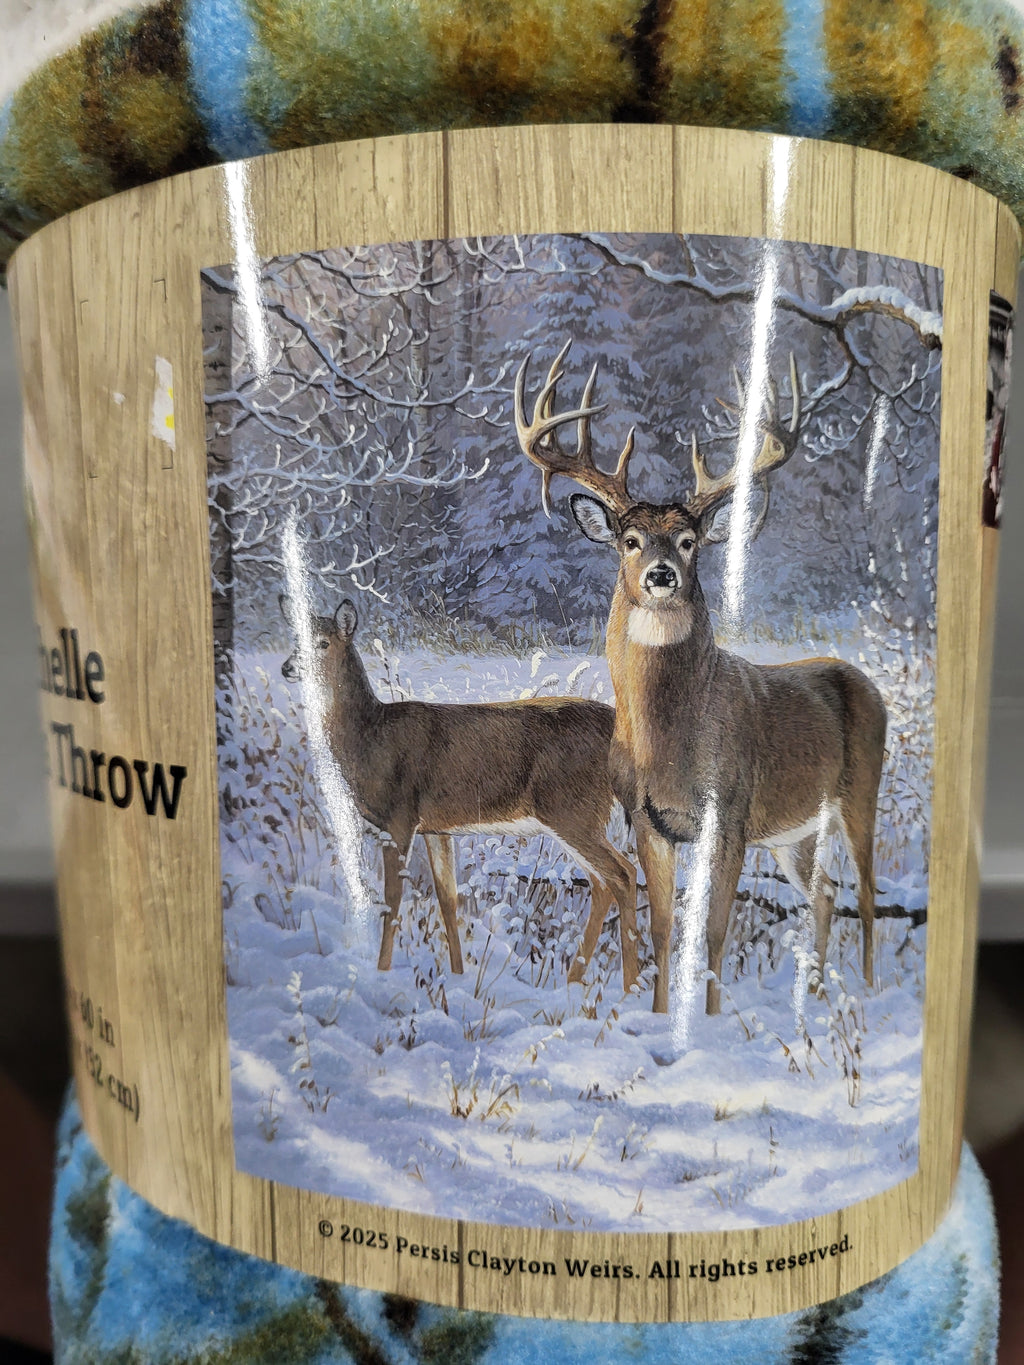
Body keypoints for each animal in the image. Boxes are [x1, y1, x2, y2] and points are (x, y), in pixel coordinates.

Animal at [279, 594, 638, 991]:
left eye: (323, 643)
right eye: (295, 639)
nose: (287, 668)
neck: (370, 737)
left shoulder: (399, 818)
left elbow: (393, 899)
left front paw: (383, 972)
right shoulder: (437, 829)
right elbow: (448, 899)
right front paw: (457, 975)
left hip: (572, 810)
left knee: (623, 876)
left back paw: (631, 989)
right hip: (577, 816)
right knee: (603, 884)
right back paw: (576, 980)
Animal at [514, 341, 887, 1017]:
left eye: (689, 541)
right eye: (630, 539)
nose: (661, 574)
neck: (668, 746)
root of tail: (864, 681)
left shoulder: (730, 814)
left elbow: (712, 930)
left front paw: (706, 1022)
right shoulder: (647, 820)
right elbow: (665, 927)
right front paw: (661, 1014)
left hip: (861, 790)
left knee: (866, 893)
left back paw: (866, 994)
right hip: (795, 831)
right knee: (824, 892)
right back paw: (816, 995)